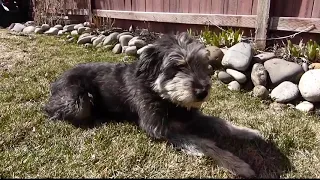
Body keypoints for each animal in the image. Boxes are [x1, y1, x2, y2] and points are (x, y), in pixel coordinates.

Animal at [44, 32, 262, 177]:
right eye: (178, 66)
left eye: (203, 65)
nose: (202, 92)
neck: (165, 98)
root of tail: (56, 81)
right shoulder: (159, 128)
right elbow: (206, 144)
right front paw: (237, 164)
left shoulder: (191, 115)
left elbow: (221, 123)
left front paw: (248, 132)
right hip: (77, 102)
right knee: (53, 109)